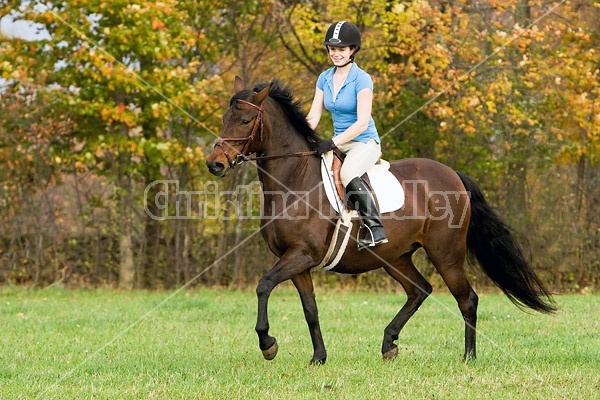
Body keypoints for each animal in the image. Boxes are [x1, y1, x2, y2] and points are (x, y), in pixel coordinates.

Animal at [204, 76, 556, 364]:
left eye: (245, 120)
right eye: (224, 119)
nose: (214, 164)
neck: (294, 179)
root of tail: (453, 175)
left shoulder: (301, 255)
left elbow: (263, 286)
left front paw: (268, 344)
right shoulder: (297, 262)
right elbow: (310, 310)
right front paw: (318, 358)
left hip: (446, 254)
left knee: (466, 299)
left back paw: (468, 357)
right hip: (394, 256)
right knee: (419, 290)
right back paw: (389, 344)